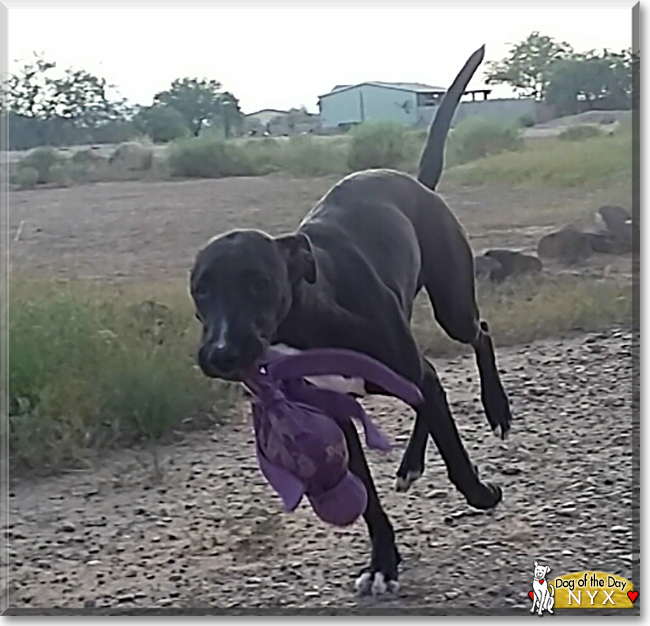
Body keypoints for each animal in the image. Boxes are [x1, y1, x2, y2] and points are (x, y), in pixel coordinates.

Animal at [187, 46, 512, 592]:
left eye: (260, 283)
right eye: (200, 290)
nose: (220, 354)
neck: (310, 321)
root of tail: (414, 182)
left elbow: (455, 453)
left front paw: (480, 493)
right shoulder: (336, 418)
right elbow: (369, 503)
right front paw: (383, 561)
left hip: (453, 307)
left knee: (478, 336)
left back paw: (497, 409)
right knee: (432, 384)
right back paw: (410, 464)